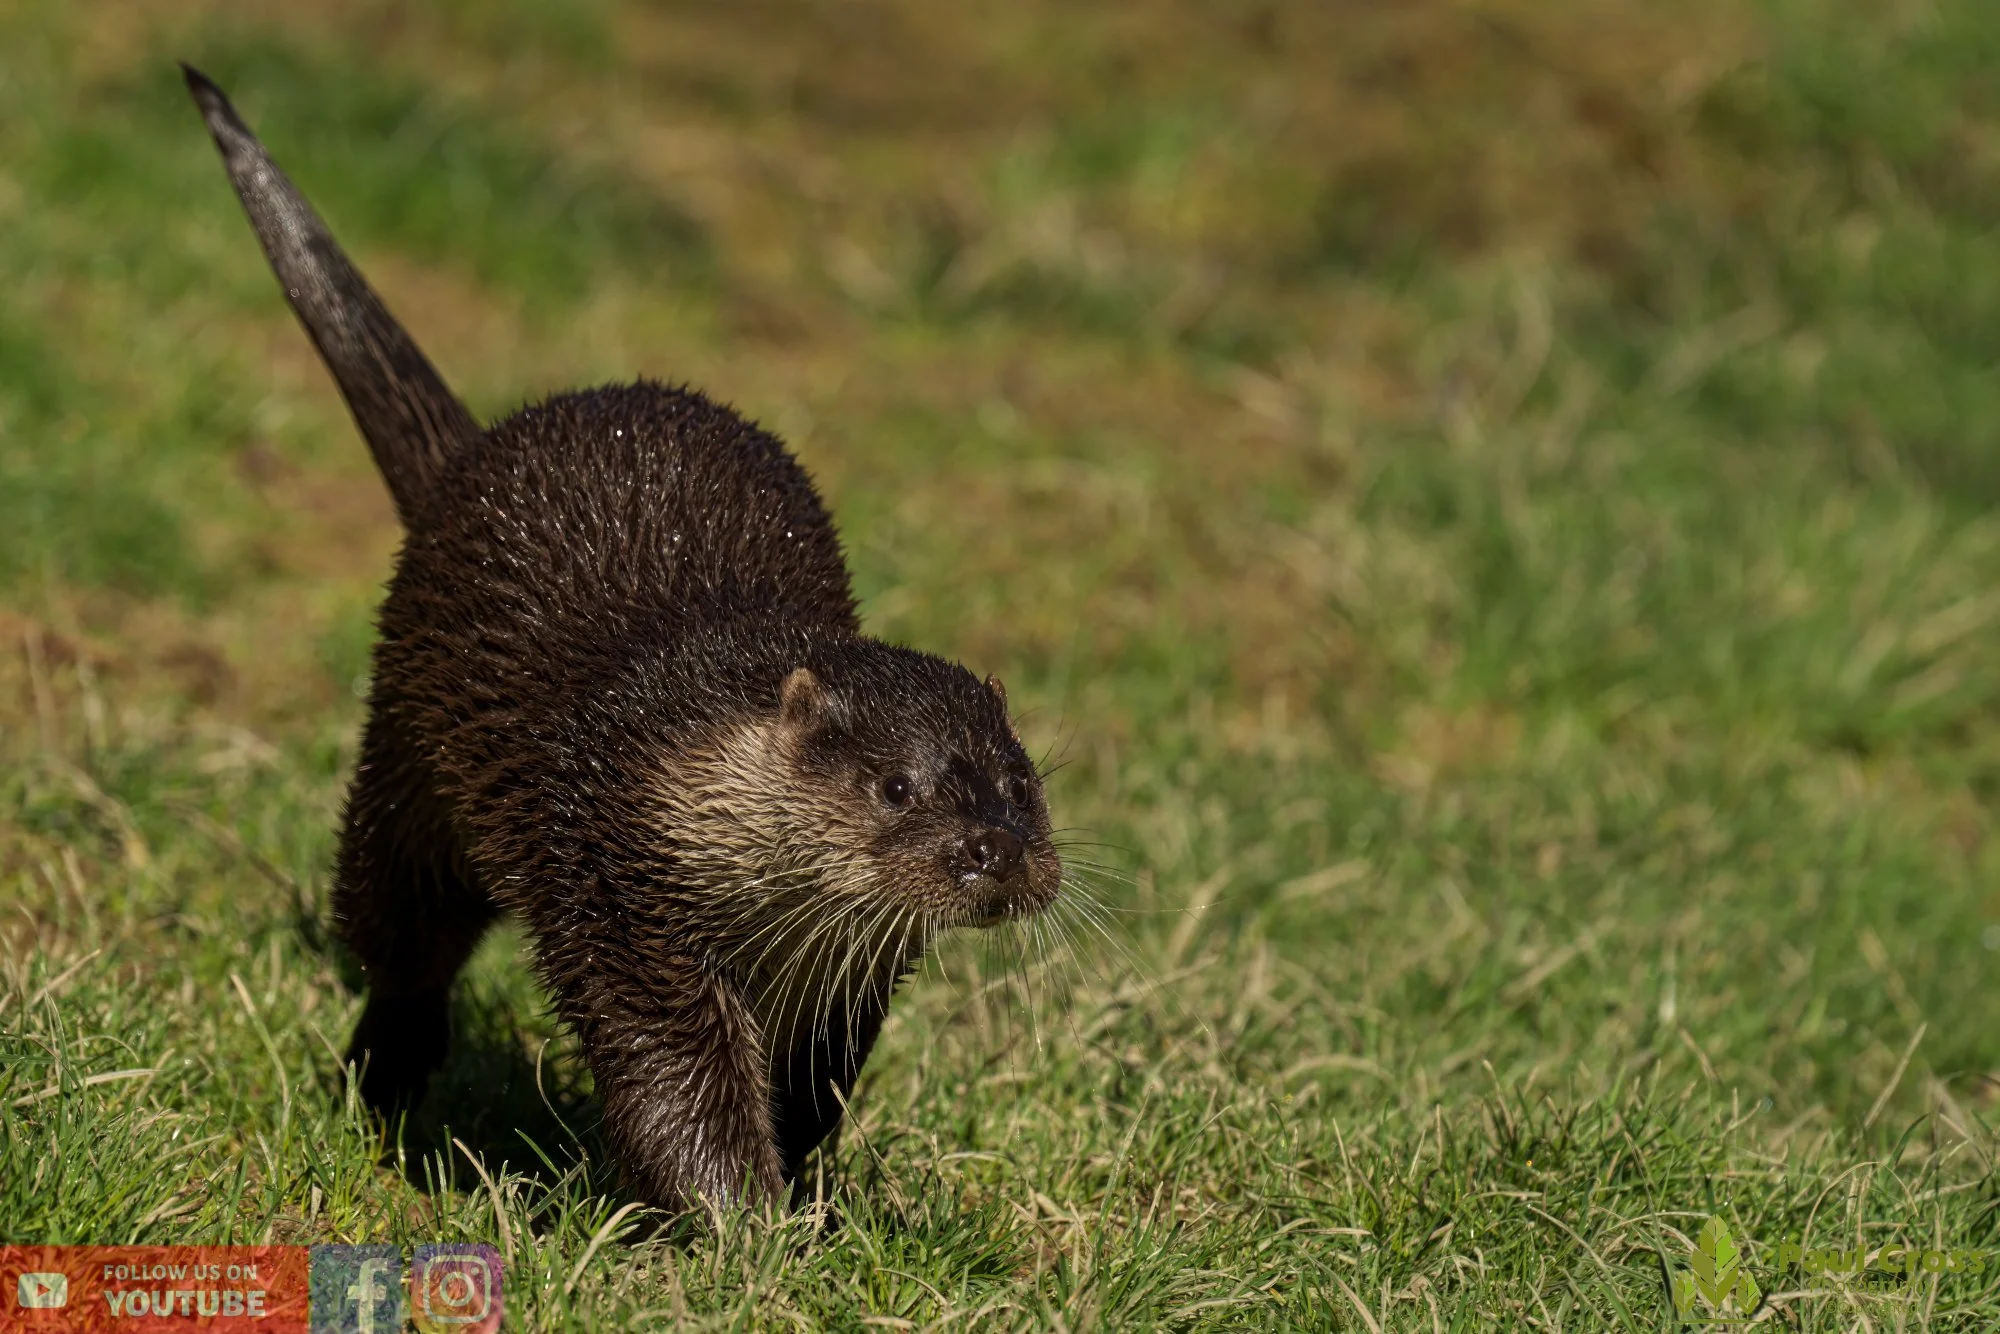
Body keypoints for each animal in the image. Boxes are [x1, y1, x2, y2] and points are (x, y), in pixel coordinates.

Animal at [183, 67, 1061, 1209]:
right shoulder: (617, 887)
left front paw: (808, 1195)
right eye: (896, 787)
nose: (993, 849)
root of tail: (473, 455)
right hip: (407, 753)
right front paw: (740, 1220)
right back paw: (381, 1086)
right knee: (399, 929)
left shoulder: (842, 973)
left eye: (1021, 782)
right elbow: (673, 1077)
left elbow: (814, 1083)